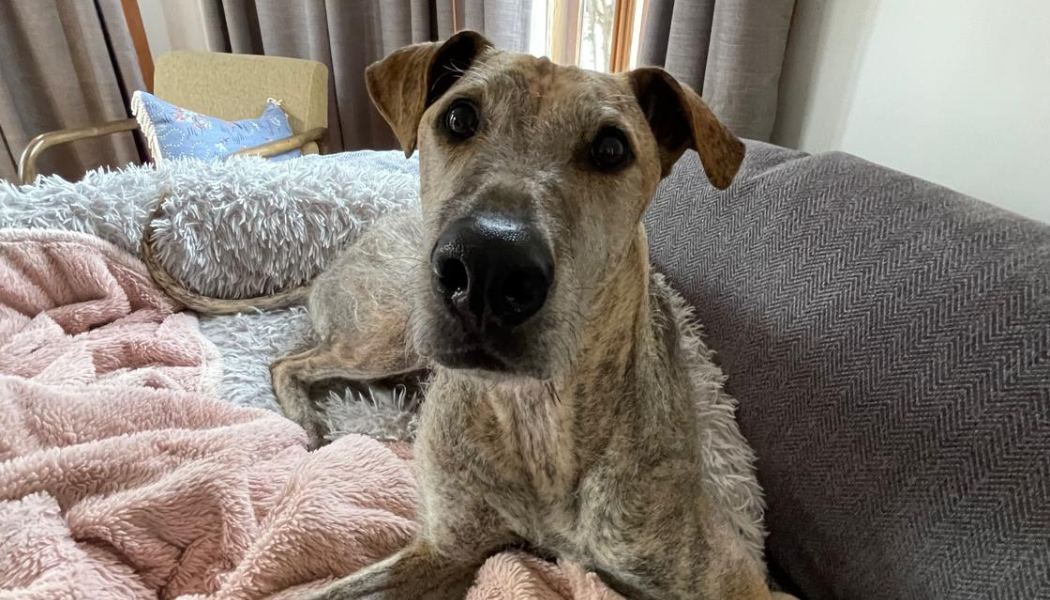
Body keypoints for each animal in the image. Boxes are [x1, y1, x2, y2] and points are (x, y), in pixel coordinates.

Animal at [143, 30, 797, 600]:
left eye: (612, 148)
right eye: (458, 118)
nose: (488, 267)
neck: (536, 415)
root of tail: (338, 257)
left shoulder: (732, 581)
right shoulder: (445, 548)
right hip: (388, 334)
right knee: (289, 361)